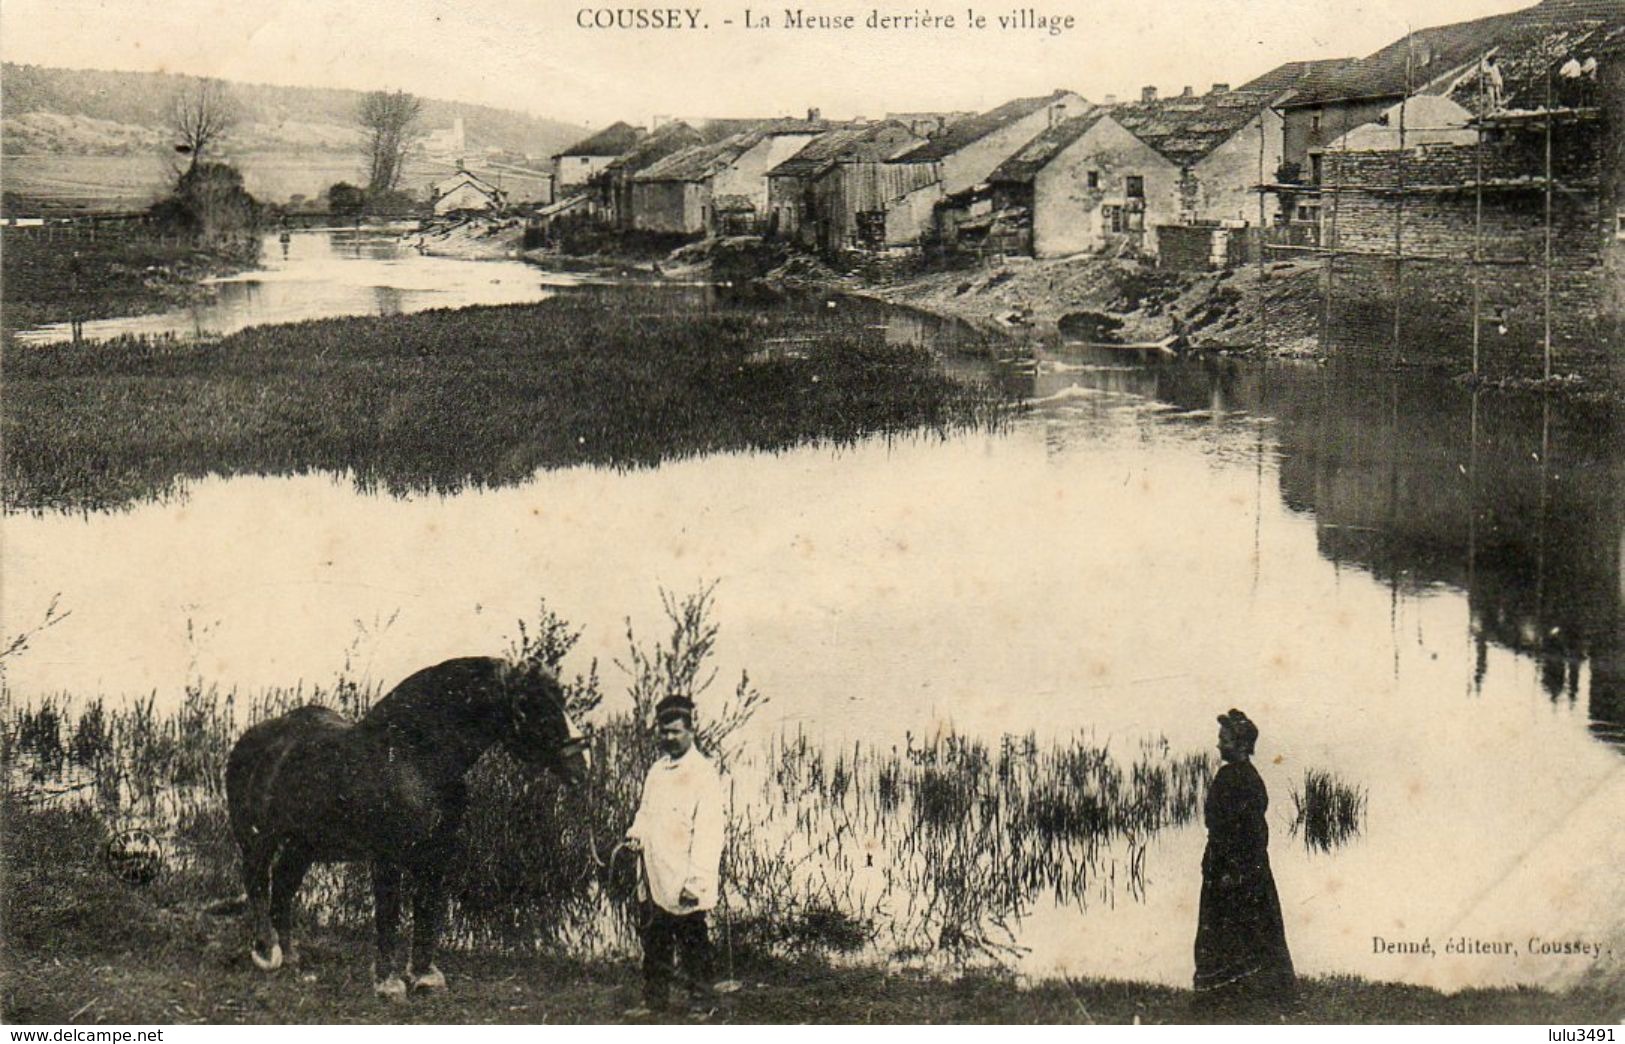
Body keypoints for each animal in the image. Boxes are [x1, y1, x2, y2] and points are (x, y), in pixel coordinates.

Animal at [225, 653, 588, 988]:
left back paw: (293, 960)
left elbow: (427, 907)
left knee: (283, 887)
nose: (580, 768)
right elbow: (389, 913)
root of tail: (250, 740)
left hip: (303, 845)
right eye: (529, 704)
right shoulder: (387, 854)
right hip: (259, 838)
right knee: (257, 882)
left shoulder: (437, 851)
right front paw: (388, 982)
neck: (413, 757)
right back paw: (267, 951)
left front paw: (424, 976)